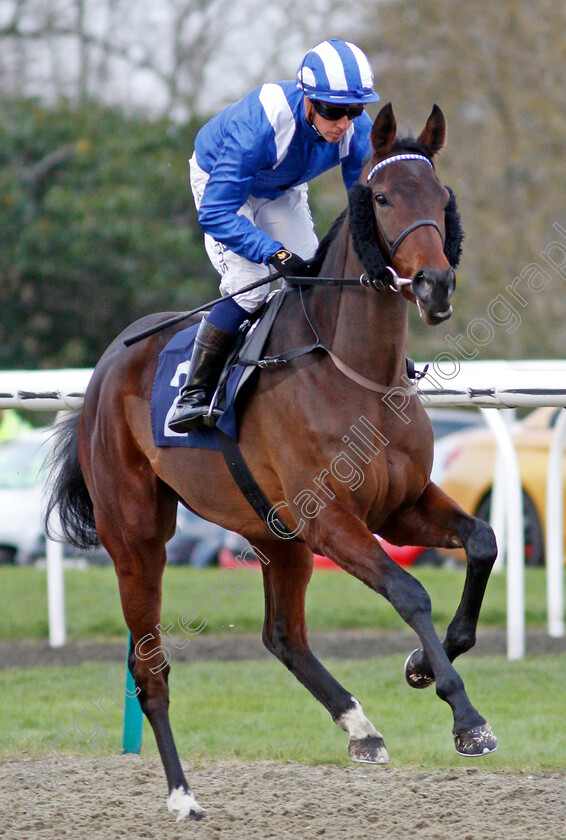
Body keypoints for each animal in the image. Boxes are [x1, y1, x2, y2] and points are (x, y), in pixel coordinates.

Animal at [50, 103, 502, 820]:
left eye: (442, 197)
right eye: (382, 196)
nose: (435, 285)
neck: (353, 370)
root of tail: (103, 372)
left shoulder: (399, 506)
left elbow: (482, 542)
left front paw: (420, 664)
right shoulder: (330, 519)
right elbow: (409, 590)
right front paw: (466, 716)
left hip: (274, 532)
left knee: (283, 635)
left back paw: (360, 727)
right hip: (137, 537)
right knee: (150, 667)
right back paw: (182, 794)